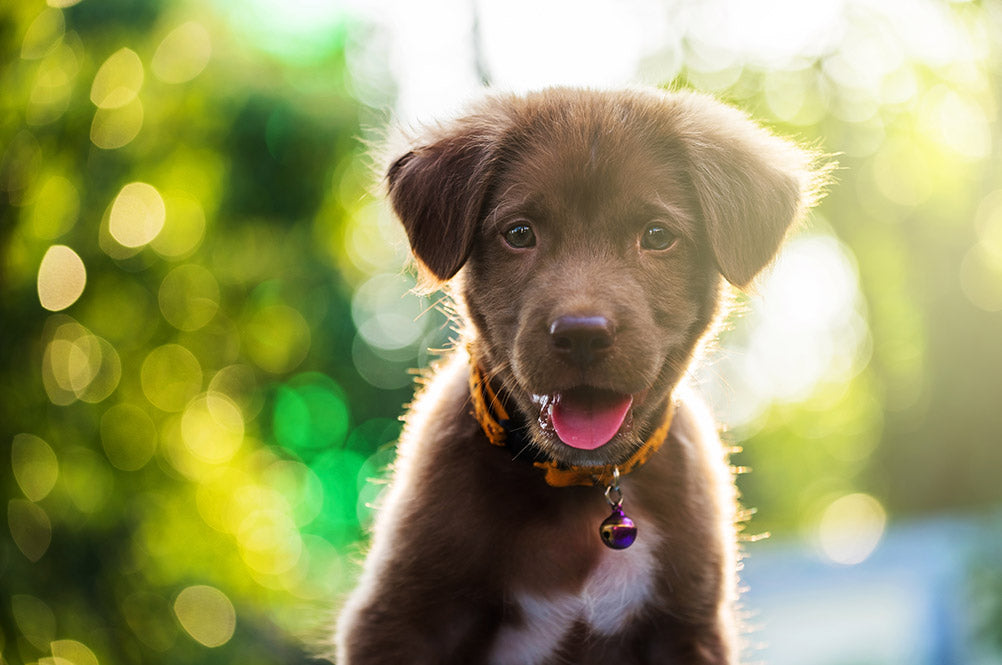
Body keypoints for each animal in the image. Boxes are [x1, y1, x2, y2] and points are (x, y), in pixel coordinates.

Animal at [340, 89, 825, 664]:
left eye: (657, 236)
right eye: (519, 233)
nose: (583, 335)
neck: (582, 487)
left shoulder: (690, 629)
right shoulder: (397, 620)